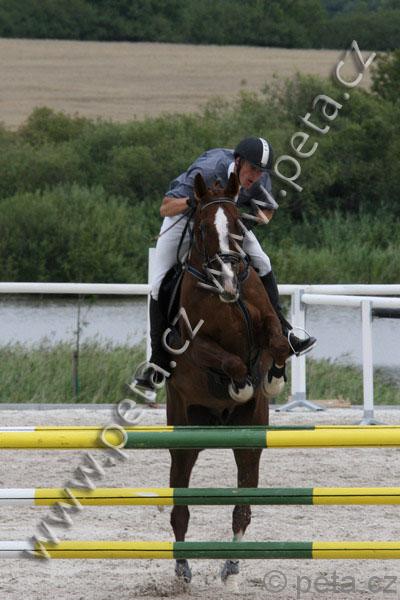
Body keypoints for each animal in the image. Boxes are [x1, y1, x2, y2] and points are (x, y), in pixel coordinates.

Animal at [164, 171, 291, 589]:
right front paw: (242, 384)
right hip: (184, 434)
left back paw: (232, 564)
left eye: (239, 227)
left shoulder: (266, 321)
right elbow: (230, 362)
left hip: (250, 440)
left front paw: (272, 378)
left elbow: (278, 343)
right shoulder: (194, 343)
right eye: (202, 228)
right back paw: (183, 569)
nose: (229, 280)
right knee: (180, 508)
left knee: (242, 507)